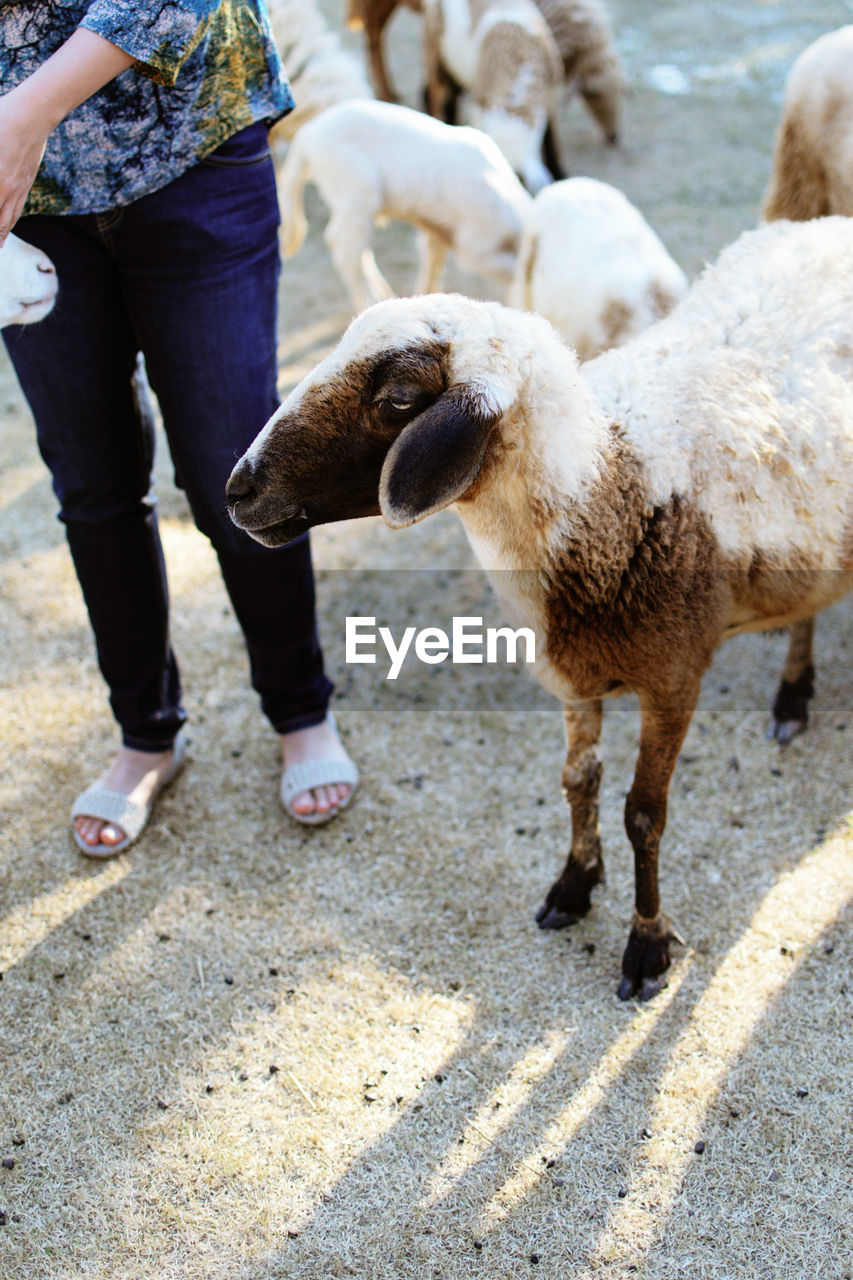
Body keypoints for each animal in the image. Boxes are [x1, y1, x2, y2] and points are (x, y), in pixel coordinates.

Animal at [224, 217, 850, 998]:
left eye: (397, 398)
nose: (237, 491)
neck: (613, 496)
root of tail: (822, 225)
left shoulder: (674, 680)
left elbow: (644, 815)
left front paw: (647, 945)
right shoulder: (572, 676)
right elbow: (578, 781)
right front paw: (573, 887)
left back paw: (793, 696)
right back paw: (793, 693)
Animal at [275, 97, 532, 312]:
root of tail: (306, 137)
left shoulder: (437, 232)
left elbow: (433, 263)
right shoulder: (476, 248)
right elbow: (515, 275)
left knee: (344, 242)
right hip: (359, 194)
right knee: (345, 252)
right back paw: (369, 301)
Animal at [420, 0, 563, 192]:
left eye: (520, 181)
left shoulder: (553, 98)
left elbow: (552, 142)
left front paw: (560, 173)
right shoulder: (478, 102)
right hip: (436, 52)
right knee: (439, 97)